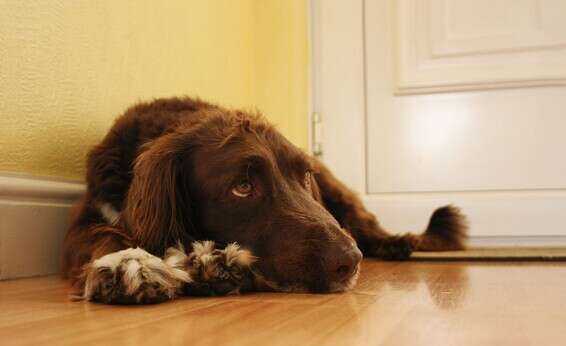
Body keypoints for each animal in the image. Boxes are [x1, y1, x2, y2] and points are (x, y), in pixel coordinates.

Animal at [63, 96, 470, 302]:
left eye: (303, 176)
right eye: (242, 187)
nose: (349, 262)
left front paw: (211, 261)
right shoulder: (86, 217)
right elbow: (103, 236)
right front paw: (130, 261)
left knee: (363, 220)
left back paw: (394, 243)